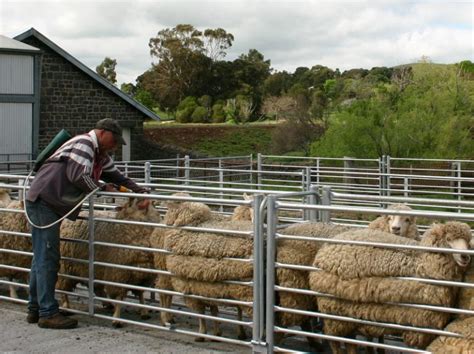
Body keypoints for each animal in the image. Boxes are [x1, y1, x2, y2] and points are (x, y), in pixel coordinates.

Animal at [57, 196, 161, 326]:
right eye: (130, 202)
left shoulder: (144, 276)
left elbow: (141, 294)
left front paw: (144, 312)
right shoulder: (117, 274)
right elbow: (119, 298)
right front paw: (117, 319)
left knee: (96, 288)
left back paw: (107, 304)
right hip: (66, 267)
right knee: (62, 286)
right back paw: (66, 306)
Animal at [310, 221, 472, 352]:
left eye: (468, 241)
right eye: (448, 239)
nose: (465, 257)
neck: (423, 264)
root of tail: (323, 250)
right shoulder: (420, 325)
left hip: (346, 314)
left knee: (349, 341)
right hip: (333, 313)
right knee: (335, 341)